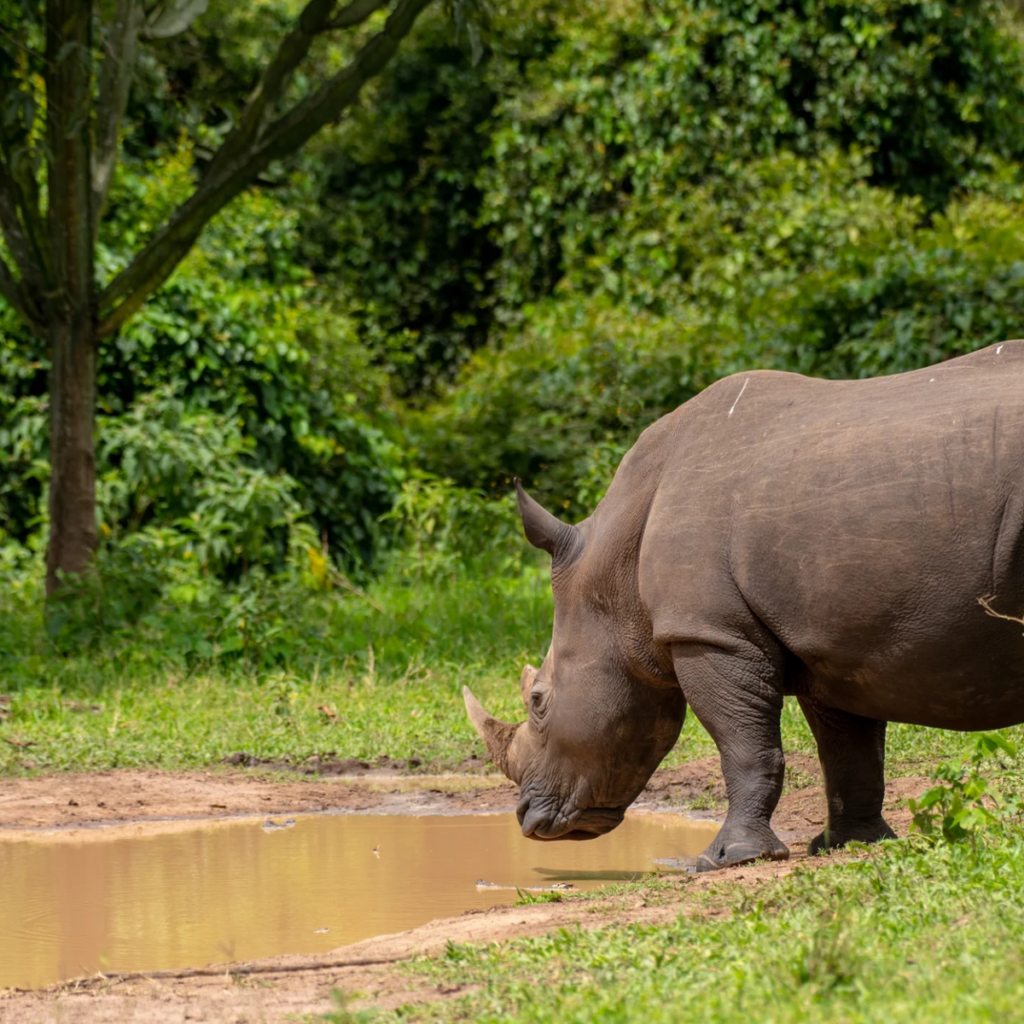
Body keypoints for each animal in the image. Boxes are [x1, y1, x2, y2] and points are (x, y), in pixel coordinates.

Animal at [463, 340, 1024, 871]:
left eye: (539, 701)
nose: (529, 823)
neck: (612, 575)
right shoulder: (834, 641)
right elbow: (849, 750)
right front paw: (851, 845)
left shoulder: (710, 632)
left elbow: (743, 745)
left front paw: (728, 858)